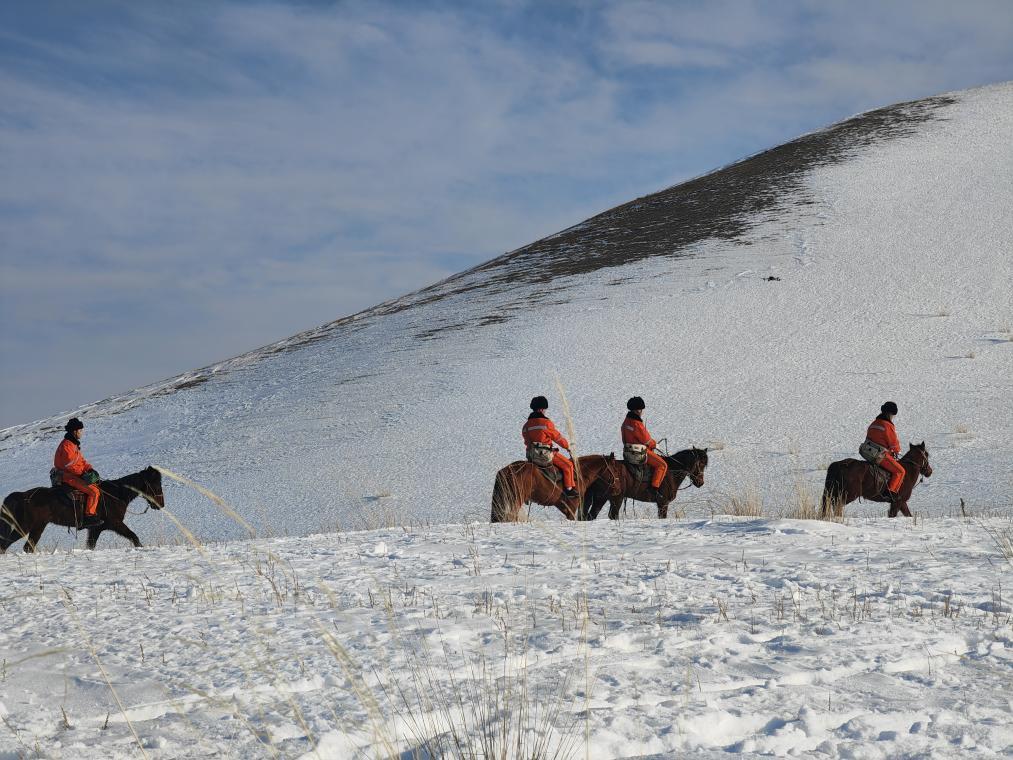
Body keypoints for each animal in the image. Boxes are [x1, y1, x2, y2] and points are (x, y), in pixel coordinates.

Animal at [1, 464, 164, 555]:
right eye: (155, 484)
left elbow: (91, 545)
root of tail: (21, 496)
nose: (161, 504)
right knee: (19, 546)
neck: (116, 494)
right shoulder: (115, 523)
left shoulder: (96, 529)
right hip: (30, 527)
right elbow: (134, 537)